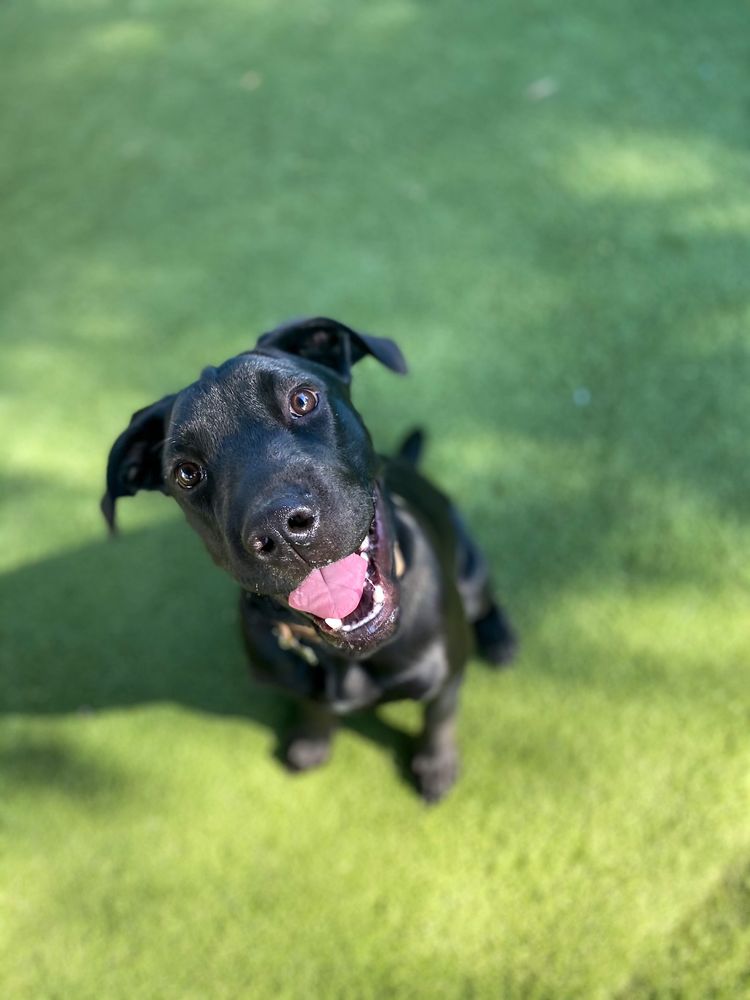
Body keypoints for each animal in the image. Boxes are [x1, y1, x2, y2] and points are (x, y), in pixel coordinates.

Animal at [102, 317, 515, 801]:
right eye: (186, 473)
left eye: (302, 400)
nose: (281, 529)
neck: (347, 658)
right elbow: (314, 707)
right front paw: (311, 743)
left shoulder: (446, 676)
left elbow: (439, 717)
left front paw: (436, 764)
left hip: (471, 568)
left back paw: (500, 638)